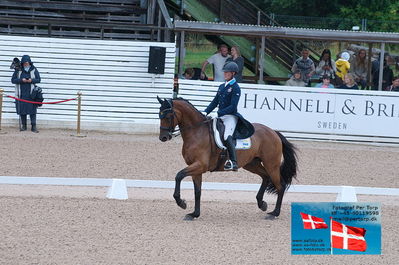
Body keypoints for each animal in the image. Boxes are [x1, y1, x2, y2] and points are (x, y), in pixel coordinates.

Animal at [158, 96, 298, 220]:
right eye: (159, 115)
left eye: (168, 116)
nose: (163, 137)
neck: (196, 132)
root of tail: (274, 132)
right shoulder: (196, 167)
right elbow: (197, 191)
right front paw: (194, 214)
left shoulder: (200, 165)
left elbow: (179, 175)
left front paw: (181, 203)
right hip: (251, 164)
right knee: (265, 177)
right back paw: (261, 204)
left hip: (271, 164)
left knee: (280, 186)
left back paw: (274, 213)